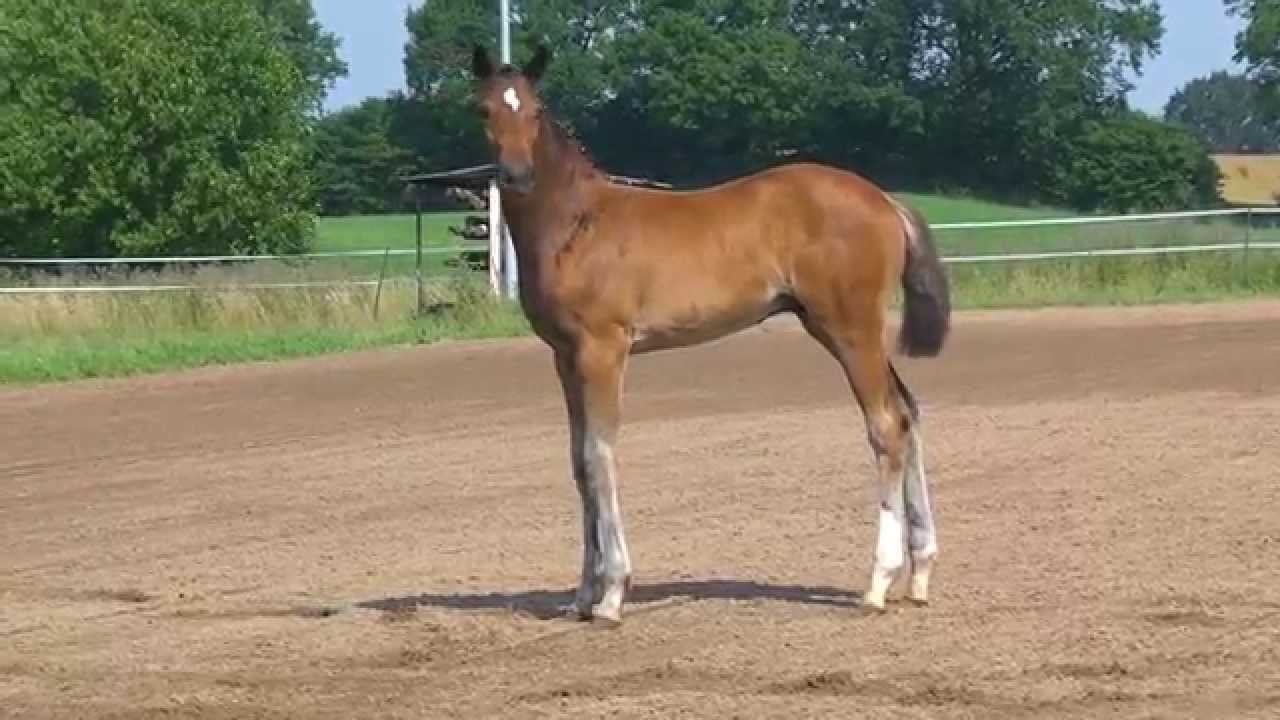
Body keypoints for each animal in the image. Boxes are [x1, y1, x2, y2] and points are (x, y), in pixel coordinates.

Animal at [468, 43, 952, 624]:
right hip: (848, 331)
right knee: (908, 411)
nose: (516, 175)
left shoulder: (603, 348)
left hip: (850, 328)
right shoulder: (565, 356)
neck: (576, 221)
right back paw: (919, 574)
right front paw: (583, 593)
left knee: (885, 426)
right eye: (484, 110)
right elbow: (578, 461)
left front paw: (611, 593)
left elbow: (600, 454)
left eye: (536, 111)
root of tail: (885, 200)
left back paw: (878, 582)